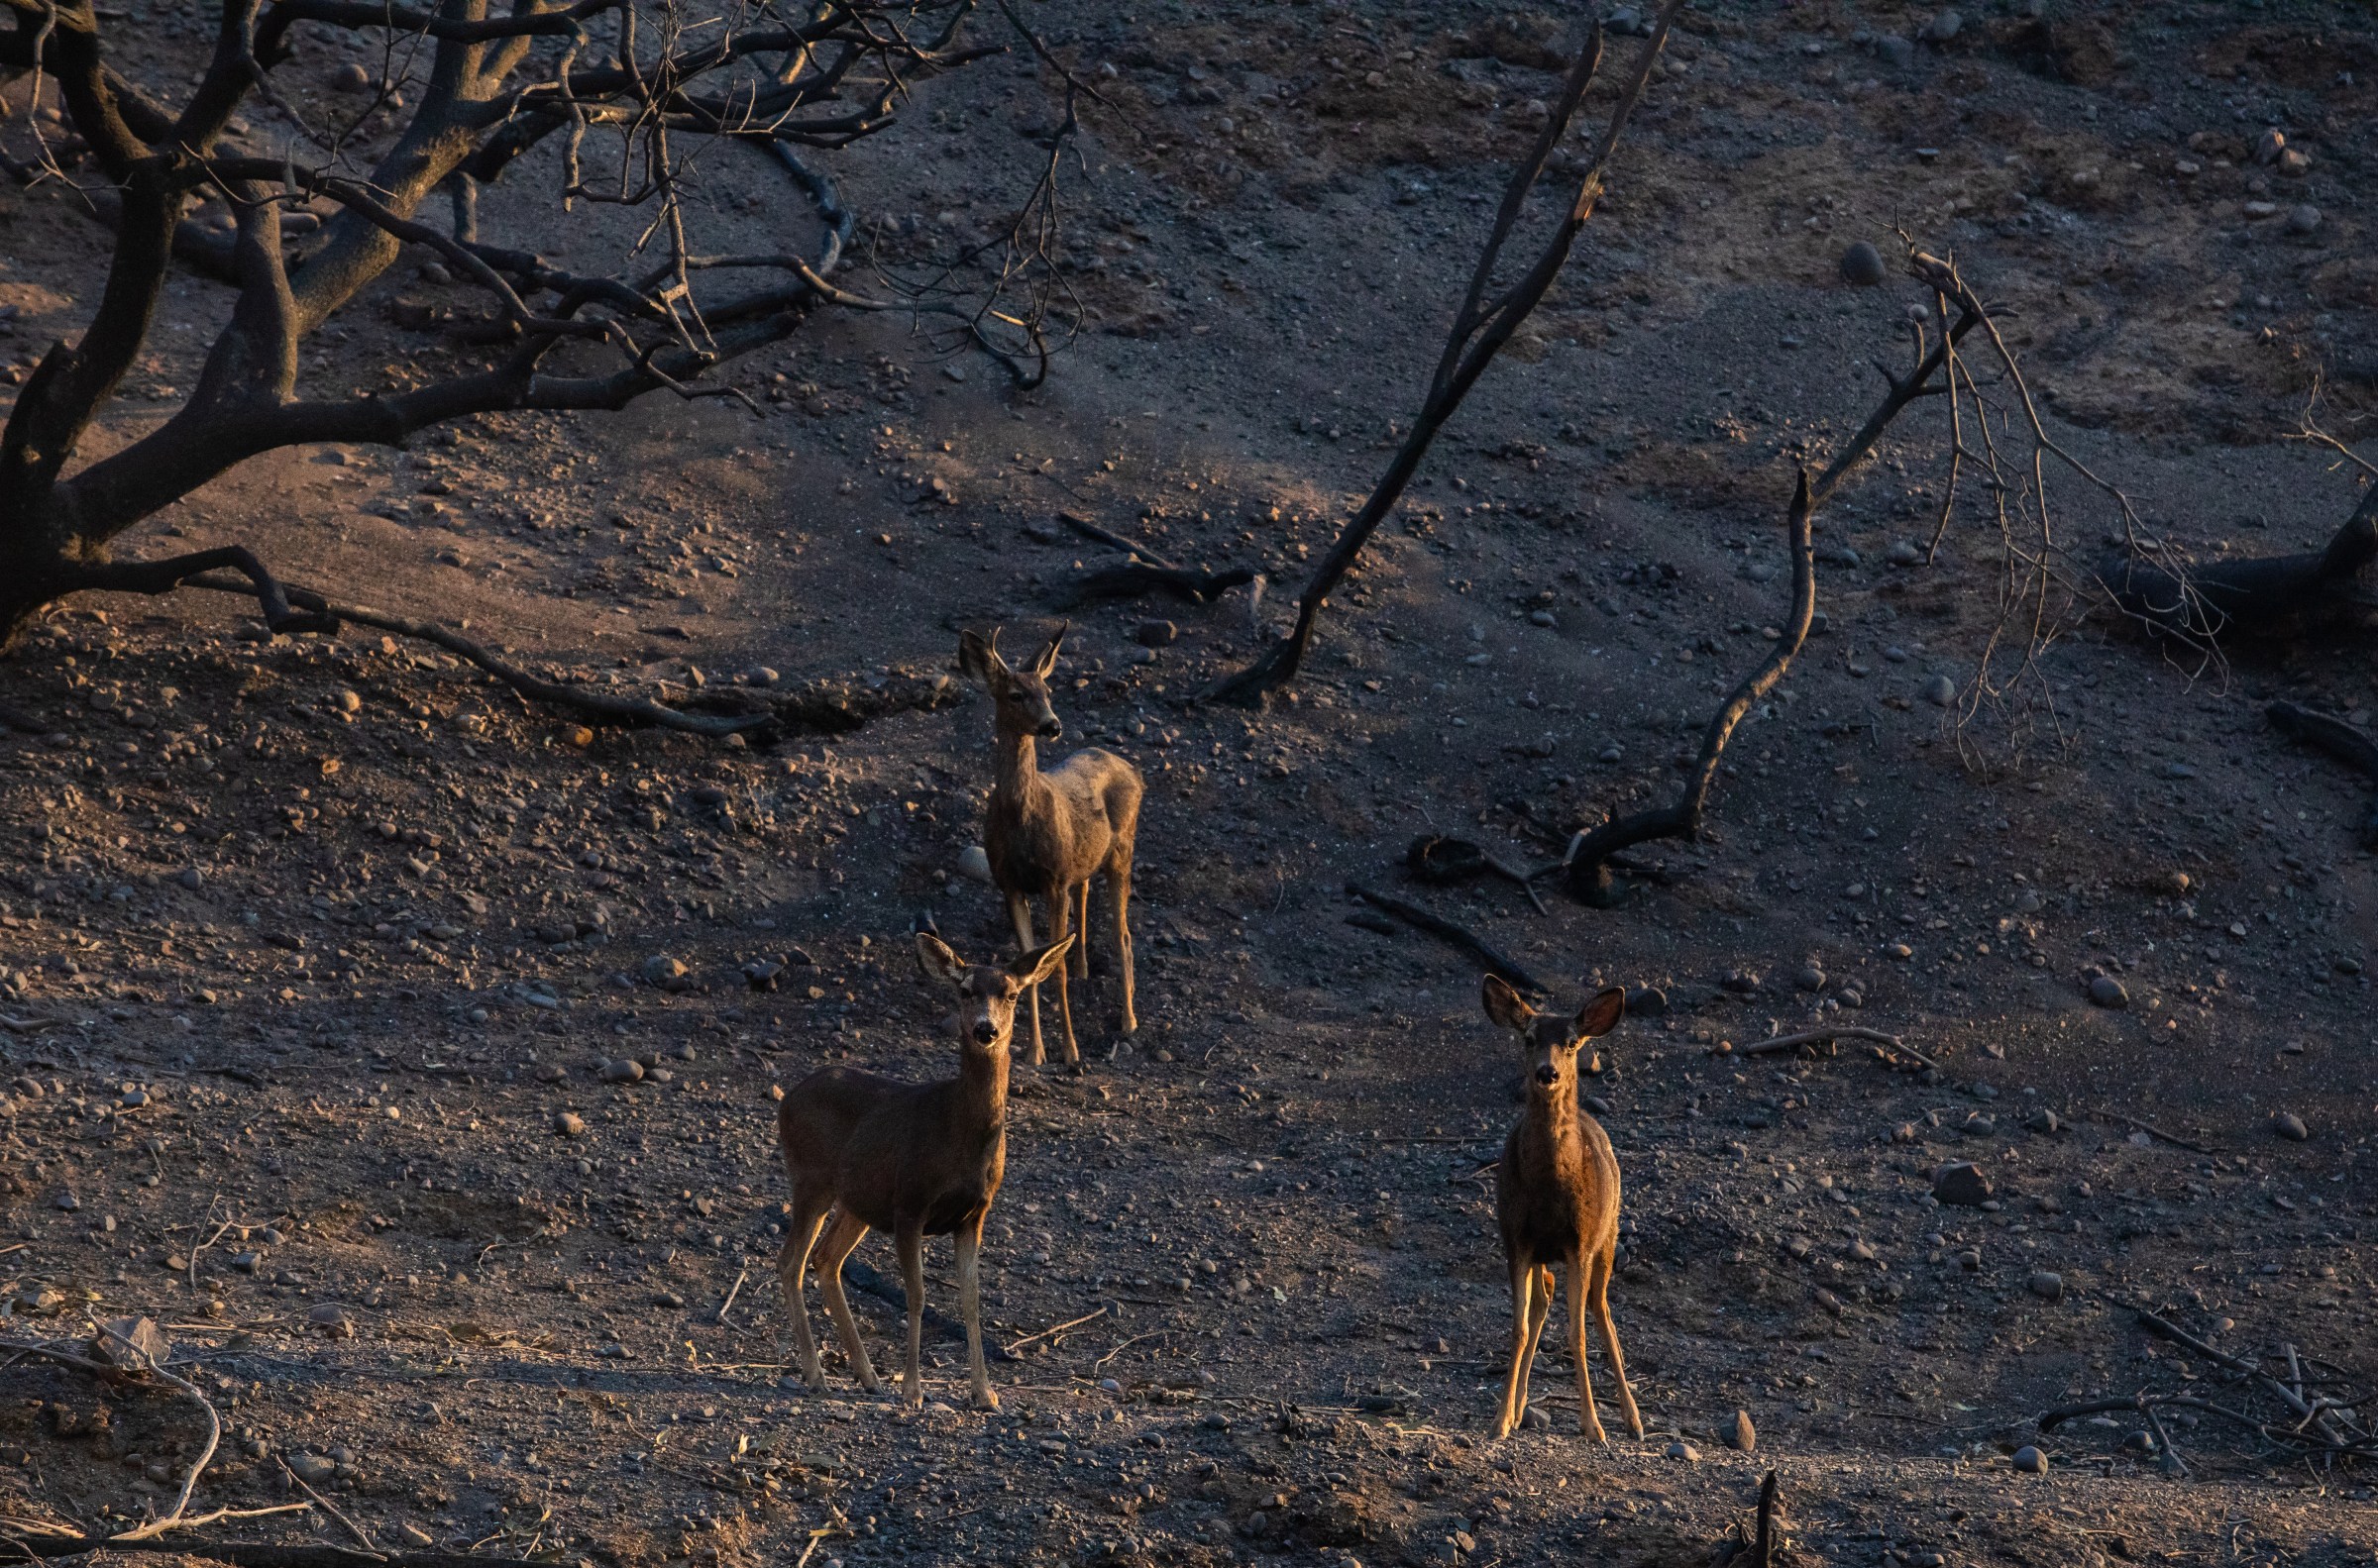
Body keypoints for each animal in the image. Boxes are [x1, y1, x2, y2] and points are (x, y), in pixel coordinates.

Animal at [770, 926, 1070, 1415]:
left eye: (1010, 994)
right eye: (964, 991)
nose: (985, 1029)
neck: (961, 1135)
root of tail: (785, 1099)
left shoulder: (974, 1215)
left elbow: (970, 1301)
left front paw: (985, 1393)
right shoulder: (910, 1204)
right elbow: (917, 1296)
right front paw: (913, 1390)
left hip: (859, 1199)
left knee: (827, 1258)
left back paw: (868, 1376)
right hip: (811, 1178)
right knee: (790, 1261)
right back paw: (817, 1375)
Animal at [955, 622, 1141, 1064]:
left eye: (1049, 690)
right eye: (1016, 694)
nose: (1052, 726)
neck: (1020, 816)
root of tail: (1132, 770)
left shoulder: (1054, 880)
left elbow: (1052, 969)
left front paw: (1071, 1051)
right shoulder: (1010, 884)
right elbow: (1029, 970)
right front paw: (1034, 1051)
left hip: (1122, 852)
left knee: (1124, 934)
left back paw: (1129, 1021)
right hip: (1085, 861)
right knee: (1086, 892)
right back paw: (1085, 968)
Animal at [1474, 979, 1645, 1444]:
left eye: (1571, 1042)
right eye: (1528, 1038)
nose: (1547, 1073)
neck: (1550, 1187)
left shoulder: (1580, 1243)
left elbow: (1577, 1334)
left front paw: (1593, 1425)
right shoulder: (1516, 1239)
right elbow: (1518, 1329)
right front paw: (1500, 1419)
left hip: (1609, 1234)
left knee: (1602, 1311)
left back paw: (1633, 1419)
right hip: (1542, 1254)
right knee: (1543, 1300)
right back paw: (1519, 1408)